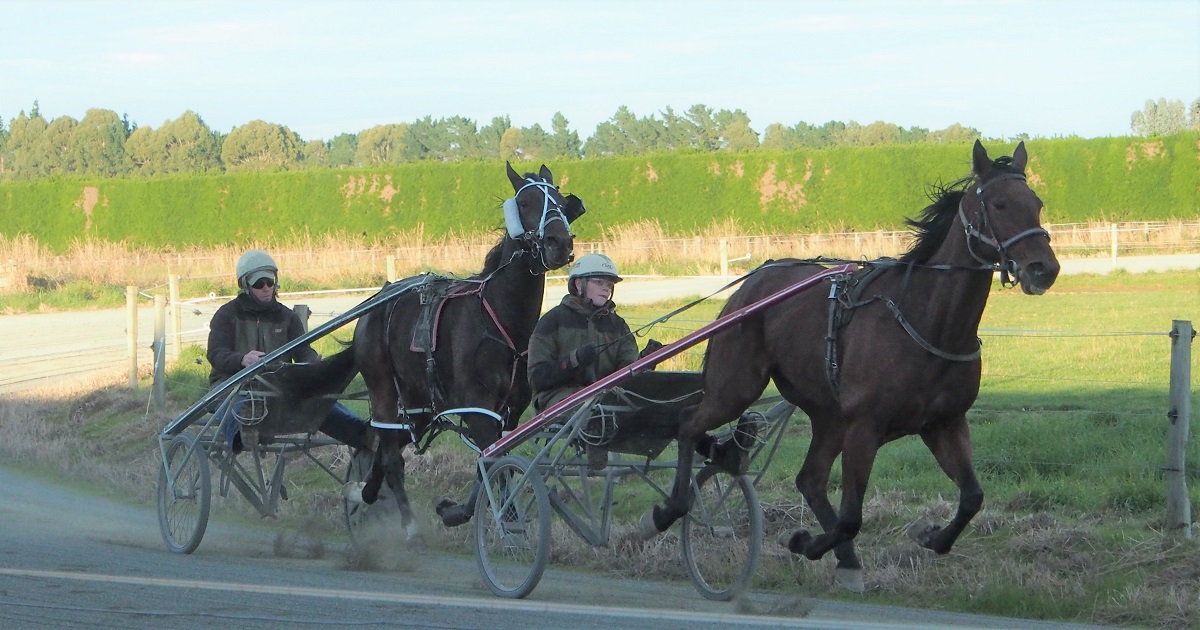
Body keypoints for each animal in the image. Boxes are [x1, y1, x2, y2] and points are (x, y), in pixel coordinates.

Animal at [336, 162, 582, 542]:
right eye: (524, 202)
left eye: (558, 199)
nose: (559, 242)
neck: (499, 317)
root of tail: (376, 301)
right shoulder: (477, 406)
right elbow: (492, 463)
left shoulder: (510, 411)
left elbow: (497, 463)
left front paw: (490, 514)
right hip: (382, 386)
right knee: (390, 453)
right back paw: (408, 524)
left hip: (420, 400)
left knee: (388, 446)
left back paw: (362, 493)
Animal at [639, 140, 1060, 592]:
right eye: (999, 204)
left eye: (1037, 203)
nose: (1044, 269)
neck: (926, 320)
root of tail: (749, 286)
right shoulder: (864, 427)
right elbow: (852, 517)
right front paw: (805, 542)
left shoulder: (943, 423)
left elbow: (972, 497)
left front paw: (931, 536)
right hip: (737, 386)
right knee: (687, 424)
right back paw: (666, 511)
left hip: (827, 415)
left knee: (809, 478)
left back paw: (845, 558)